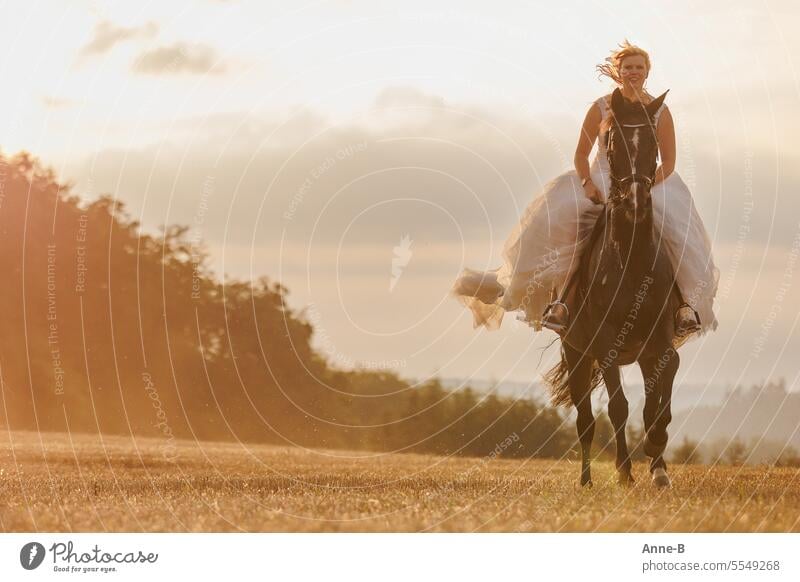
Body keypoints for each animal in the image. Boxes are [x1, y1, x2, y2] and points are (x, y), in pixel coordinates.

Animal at [544, 89, 680, 490]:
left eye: (653, 141)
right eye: (612, 141)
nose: (634, 201)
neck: (631, 261)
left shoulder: (660, 339)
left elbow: (659, 399)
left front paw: (657, 458)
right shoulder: (605, 342)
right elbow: (618, 407)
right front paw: (629, 467)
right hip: (576, 352)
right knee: (587, 420)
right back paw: (593, 478)